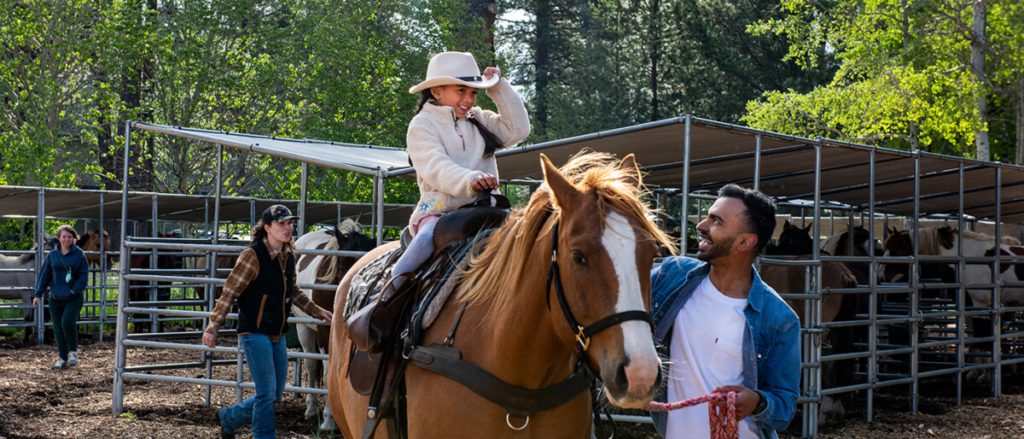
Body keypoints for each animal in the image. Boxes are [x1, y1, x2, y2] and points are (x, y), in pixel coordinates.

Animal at [292, 216, 376, 429]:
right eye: (343, 266)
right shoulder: (324, 332)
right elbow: (328, 371)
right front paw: (329, 420)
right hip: (304, 328)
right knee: (311, 366)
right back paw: (311, 409)